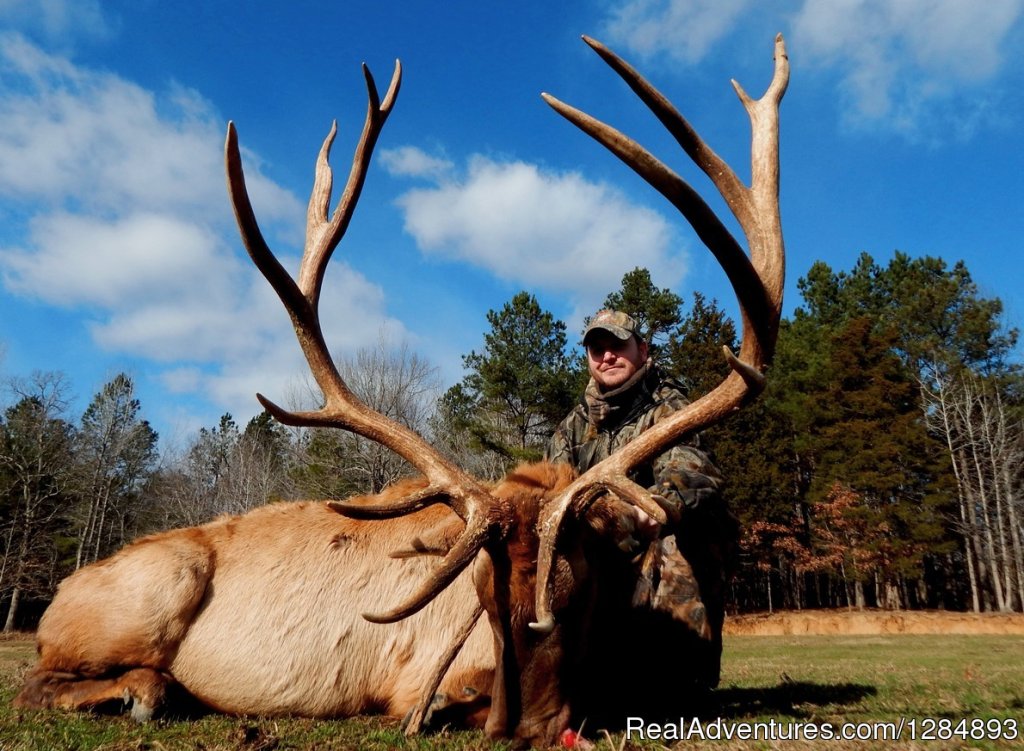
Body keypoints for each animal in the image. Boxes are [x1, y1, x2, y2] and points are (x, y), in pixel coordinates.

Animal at [16, 35, 786, 749]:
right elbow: (437, 695)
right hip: (155, 585)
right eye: (480, 597)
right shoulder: (418, 672)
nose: (519, 727)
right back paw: (145, 689)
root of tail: (57, 596)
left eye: (580, 591)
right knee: (35, 678)